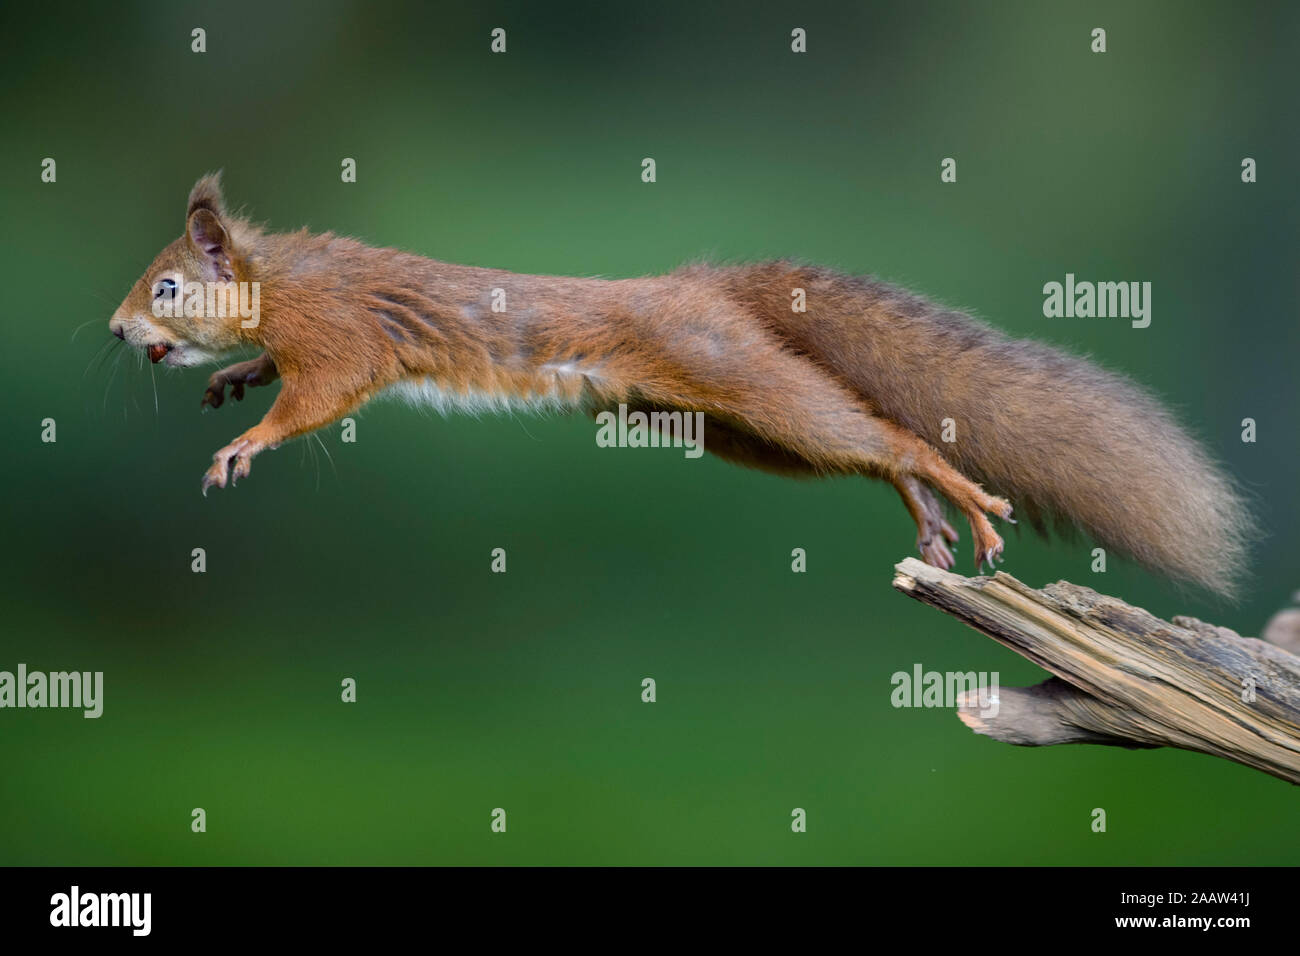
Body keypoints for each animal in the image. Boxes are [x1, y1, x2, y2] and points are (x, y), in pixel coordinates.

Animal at [109, 178, 1248, 598]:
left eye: (167, 285)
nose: (119, 329)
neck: (277, 279)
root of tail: (701, 288)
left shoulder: (339, 336)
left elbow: (324, 396)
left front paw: (242, 444)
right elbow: (284, 378)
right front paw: (238, 377)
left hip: (738, 379)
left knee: (890, 434)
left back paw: (958, 496)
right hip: (728, 428)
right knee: (860, 447)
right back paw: (923, 510)